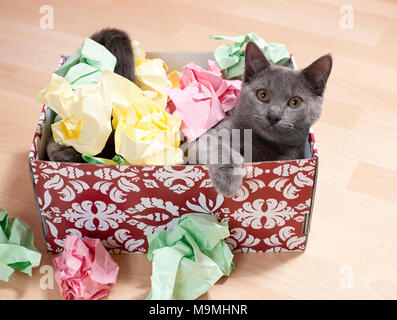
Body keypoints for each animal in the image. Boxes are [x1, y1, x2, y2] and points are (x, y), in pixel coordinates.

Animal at [187, 41, 332, 196]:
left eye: (295, 102)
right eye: (263, 94)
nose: (273, 115)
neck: (262, 143)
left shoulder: (292, 154)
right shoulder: (213, 133)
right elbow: (216, 145)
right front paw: (228, 177)